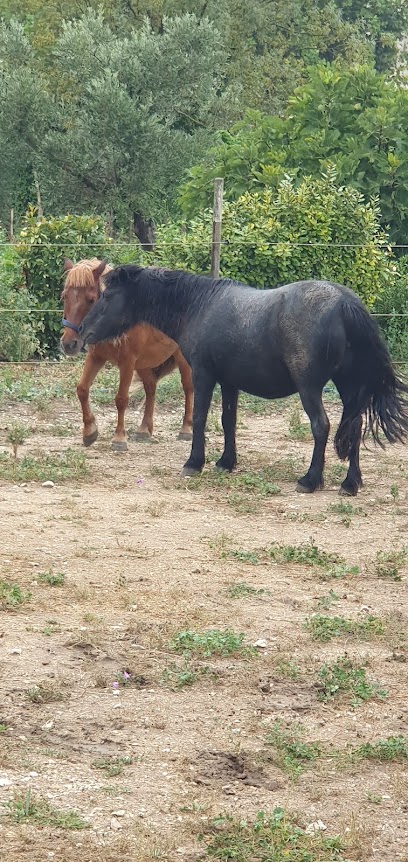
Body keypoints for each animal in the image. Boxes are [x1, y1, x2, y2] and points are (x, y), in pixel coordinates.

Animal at [60, 259, 193, 451]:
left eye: (91, 299)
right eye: (64, 297)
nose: (69, 344)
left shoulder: (127, 362)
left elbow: (121, 399)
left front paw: (119, 438)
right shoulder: (96, 357)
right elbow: (82, 389)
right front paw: (90, 432)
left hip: (180, 359)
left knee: (188, 387)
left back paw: (186, 429)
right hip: (145, 362)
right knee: (151, 387)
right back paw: (144, 429)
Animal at [77, 265, 408, 494]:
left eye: (107, 296)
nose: (83, 331)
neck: (200, 305)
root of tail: (344, 303)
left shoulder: (204, 375)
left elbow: (199, 418)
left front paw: (194, 462)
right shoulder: (229, 382)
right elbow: (228, 421)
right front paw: (226, 462)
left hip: (310, 388)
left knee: (321, 426)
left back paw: (310, 480)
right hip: (349, 386)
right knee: (354, 426)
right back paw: (350, 483)